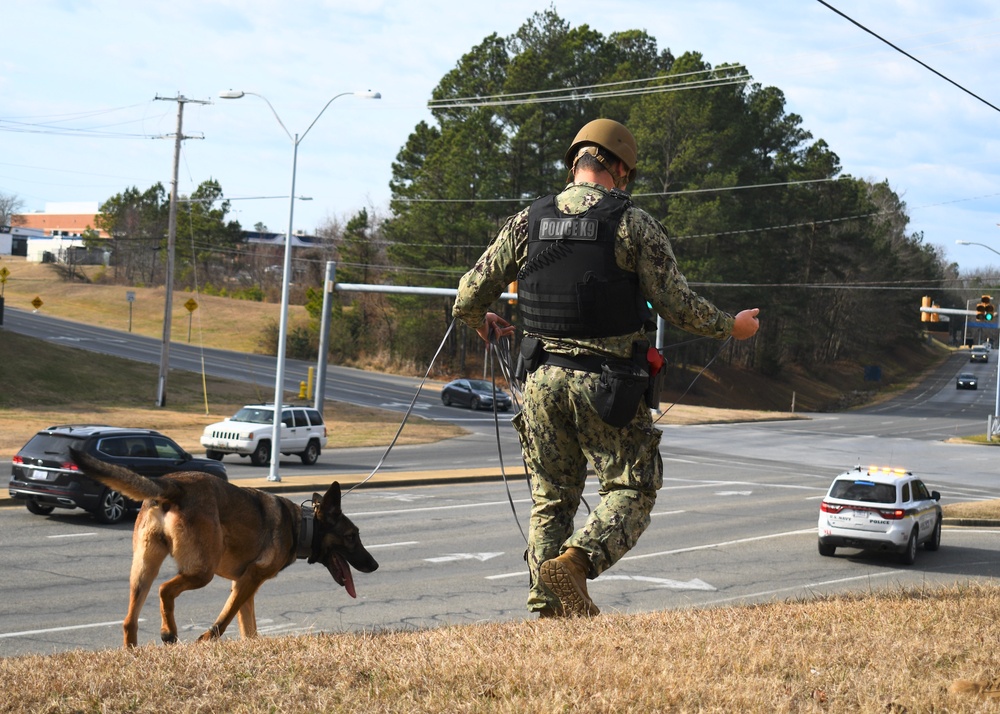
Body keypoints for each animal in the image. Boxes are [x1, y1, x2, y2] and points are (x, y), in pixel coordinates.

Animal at [72, 448, 378, 648]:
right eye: (352, 536)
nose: (375, 565)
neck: (300, 525)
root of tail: (175, 485)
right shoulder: (248, 580)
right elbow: (224, 620)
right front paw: (206, 640)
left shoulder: (243, 585)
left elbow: (248, 627)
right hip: (201, 571)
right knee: (165, 590)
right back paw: (168, 632)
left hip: (143, 569)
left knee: (130, 619)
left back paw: (133, 653)